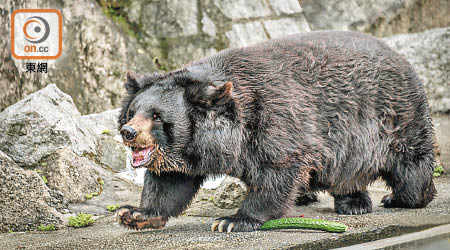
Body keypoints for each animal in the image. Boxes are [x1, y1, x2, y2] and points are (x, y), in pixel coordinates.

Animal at [115, 30, 436, 232]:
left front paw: (233, 219)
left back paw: (401, 198)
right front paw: (134, 213)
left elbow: (278, 169)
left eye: (157, 117)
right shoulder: (188, 151)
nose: (129, 132)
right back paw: (352, 201)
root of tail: (399, 55)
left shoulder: (273, 119)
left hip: (393, 117)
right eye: (133, 112)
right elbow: (169, 182)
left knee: (410, 165)